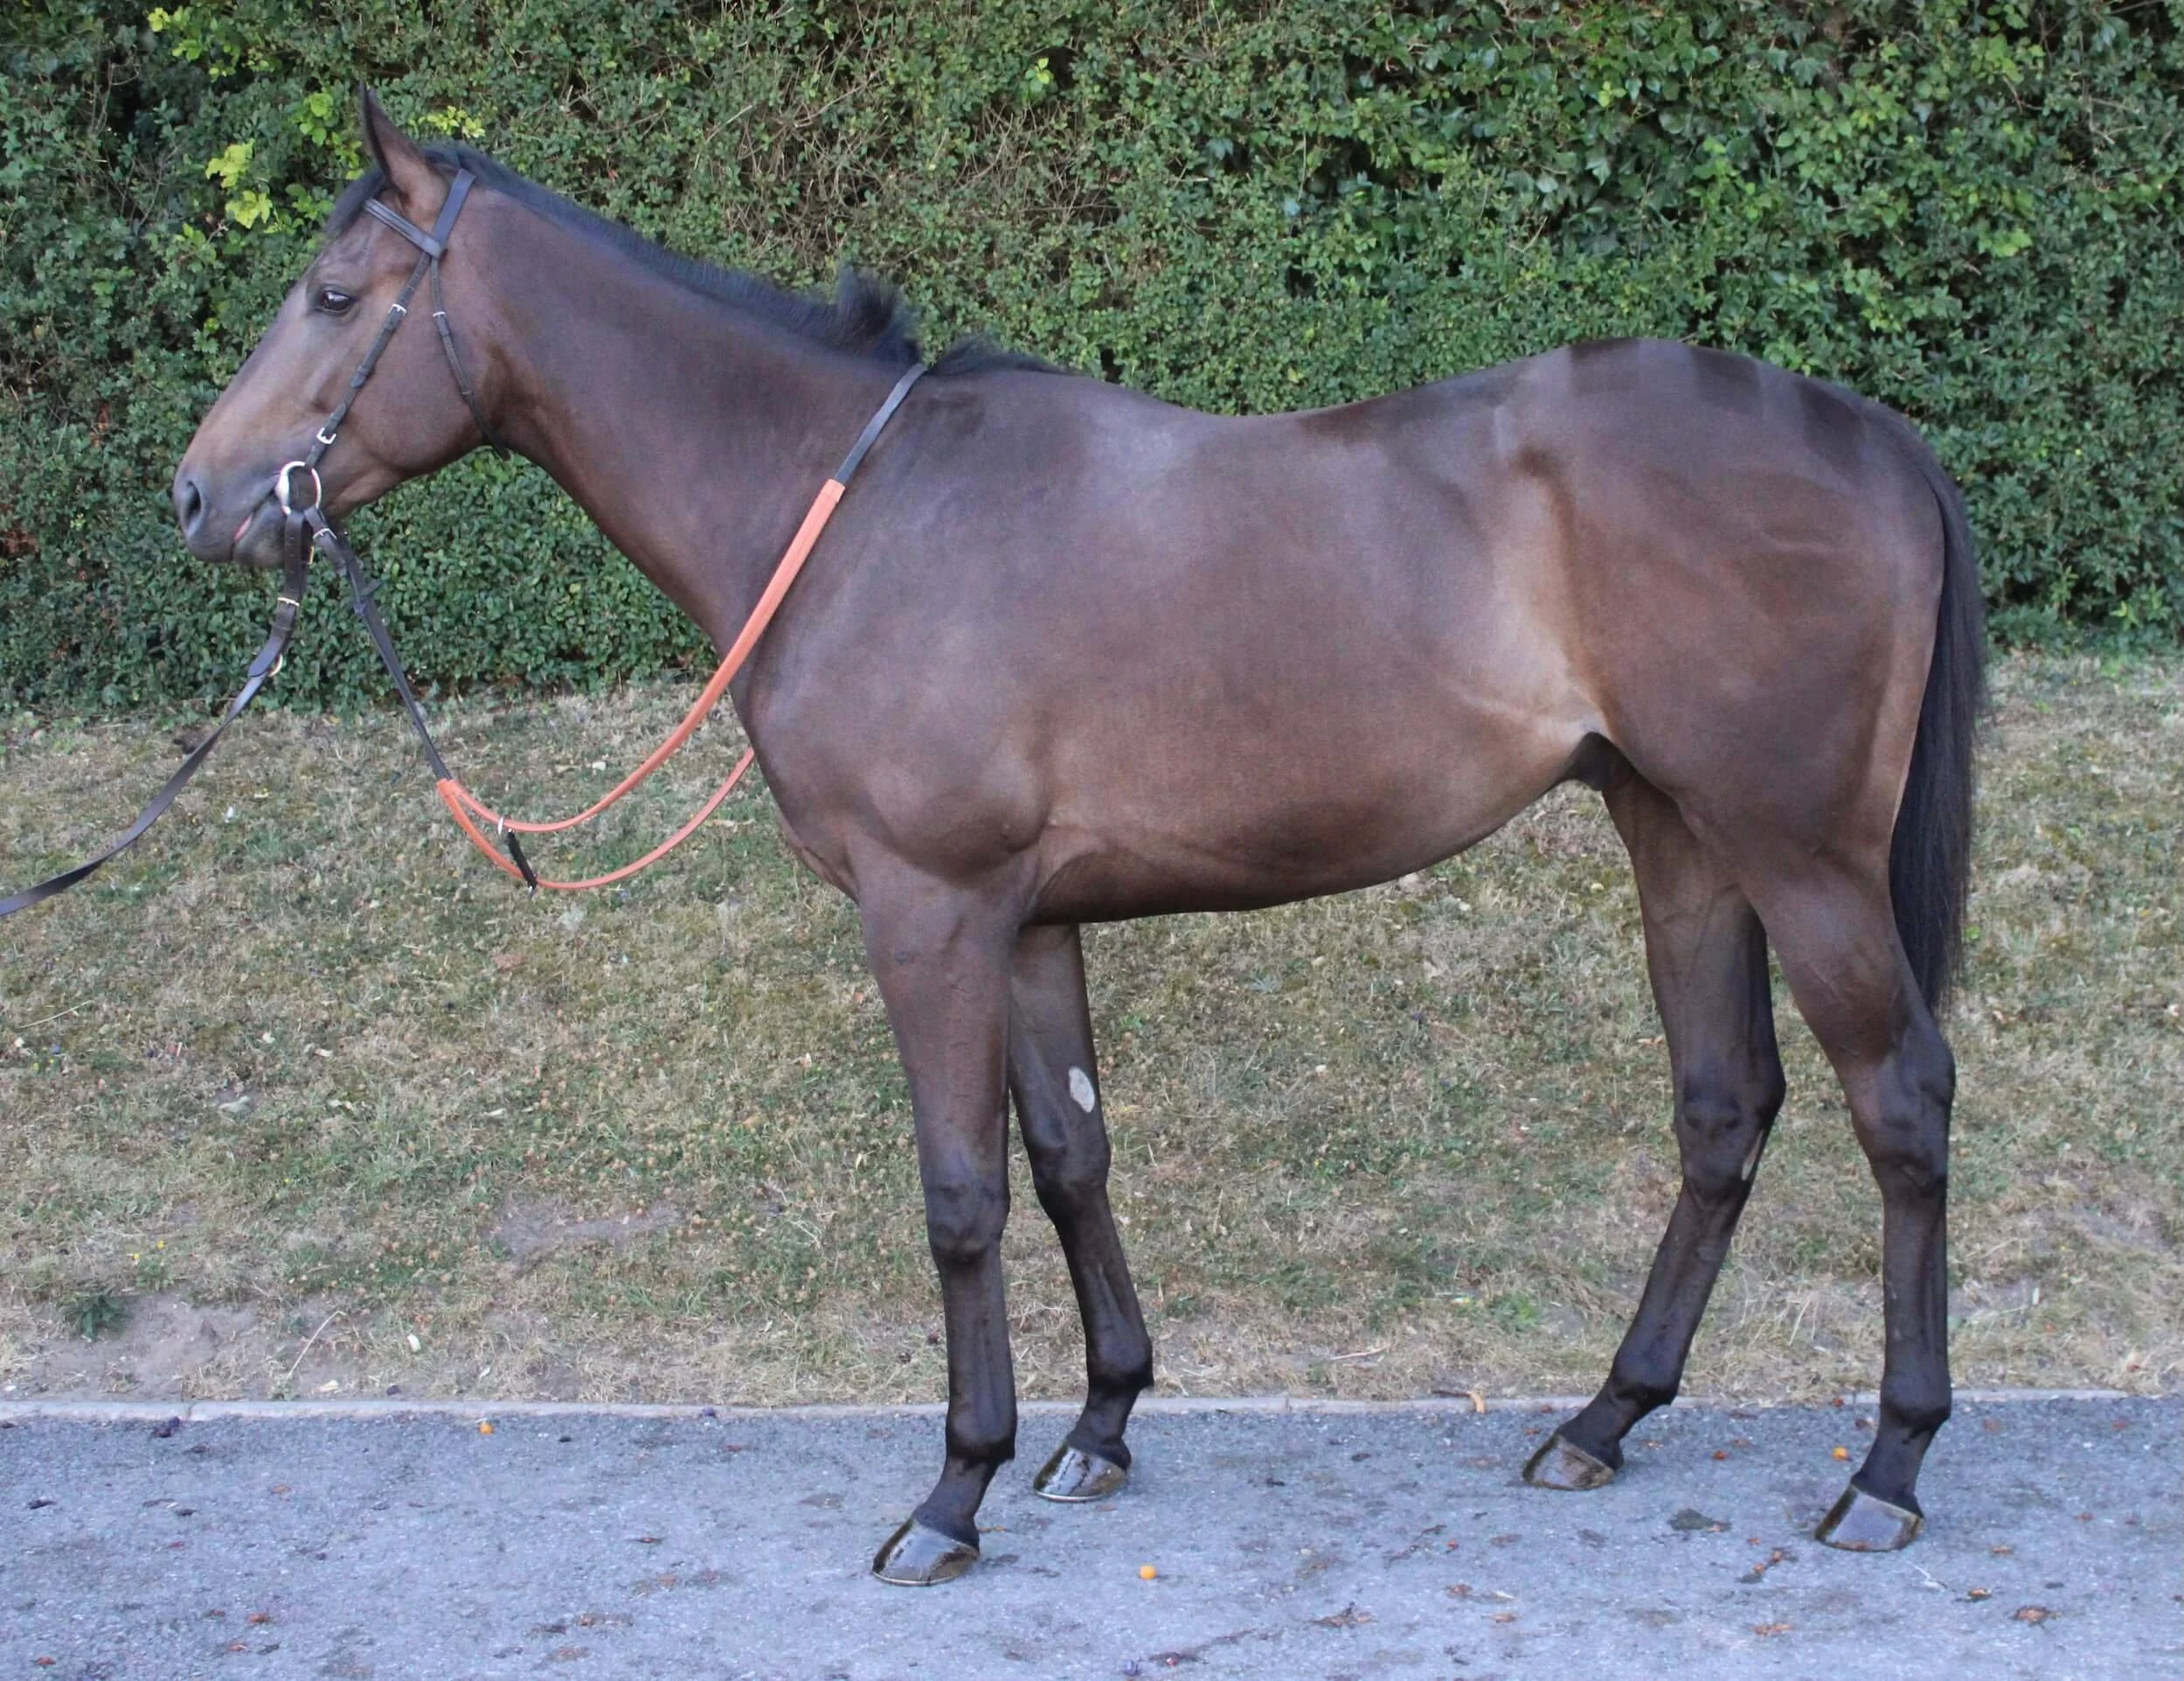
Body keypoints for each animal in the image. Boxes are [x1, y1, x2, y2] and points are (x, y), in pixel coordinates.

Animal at [173, 92, 1982, 1585]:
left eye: (331, 294)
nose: (202, 497)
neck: (858, 509)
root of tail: (1871, 435)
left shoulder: (926, 912)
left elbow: (960, 1191)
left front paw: (951, 1489)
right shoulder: (1028, 919)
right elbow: (1068, 1159)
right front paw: (1098, 1425)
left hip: (1798, 856)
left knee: (1896, 1101)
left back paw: (1886, 1466)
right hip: (1676, 836)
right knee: (1719, 1110)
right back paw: (1603, 1417)